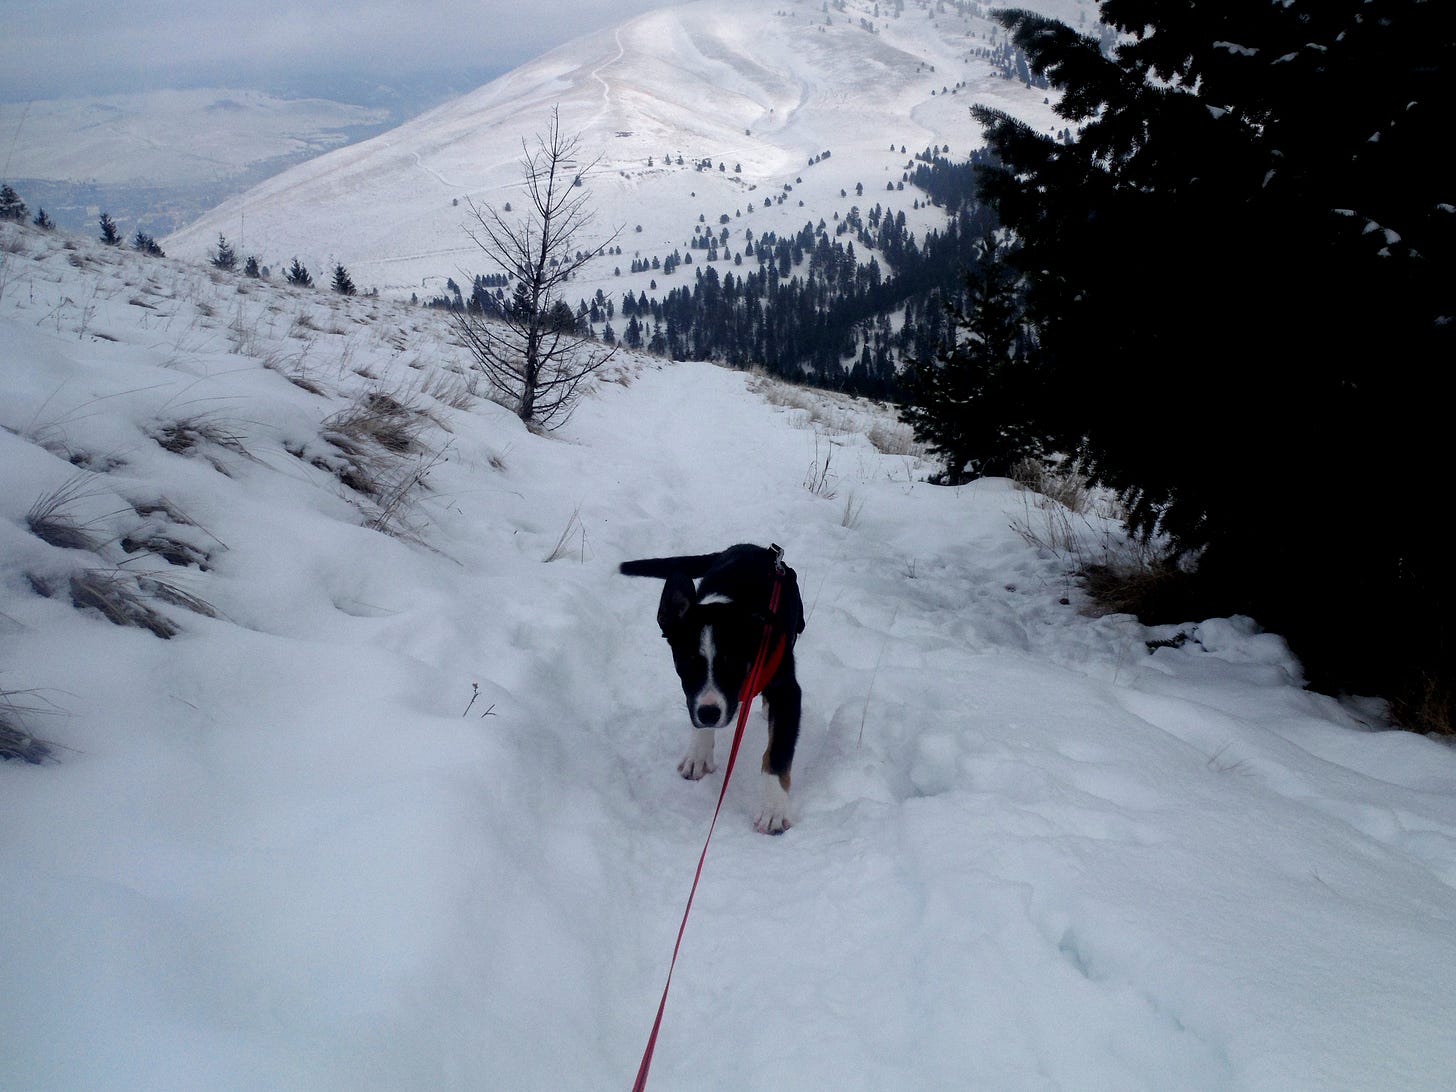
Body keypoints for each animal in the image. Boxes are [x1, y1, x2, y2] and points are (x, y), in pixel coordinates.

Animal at [620, 544, 809, 832]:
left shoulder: (786, 691)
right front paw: (697, 755)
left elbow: (778, 751)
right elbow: (695, 711)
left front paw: (773, 809)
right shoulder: (696, 697)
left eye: (732, 663)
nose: (709, 714)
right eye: (687, 663)